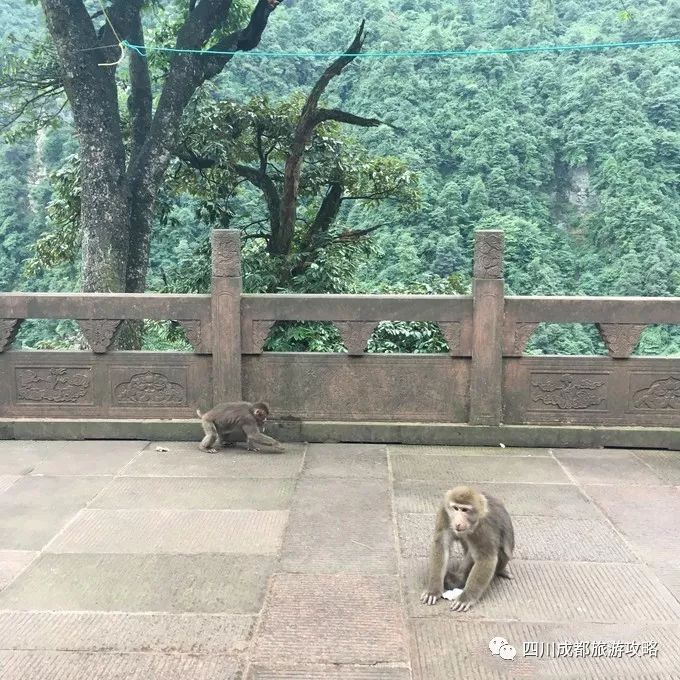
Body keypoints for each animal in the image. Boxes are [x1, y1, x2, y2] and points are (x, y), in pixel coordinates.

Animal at [420, 484, 516, 612]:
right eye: (456, 508)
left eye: (465, 510)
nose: (458, 522)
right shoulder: (445, 512)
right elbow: (441, 545)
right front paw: (433, 590)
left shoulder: (483, 526)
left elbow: (486, 558)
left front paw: (466, 598)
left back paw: (459, 579)